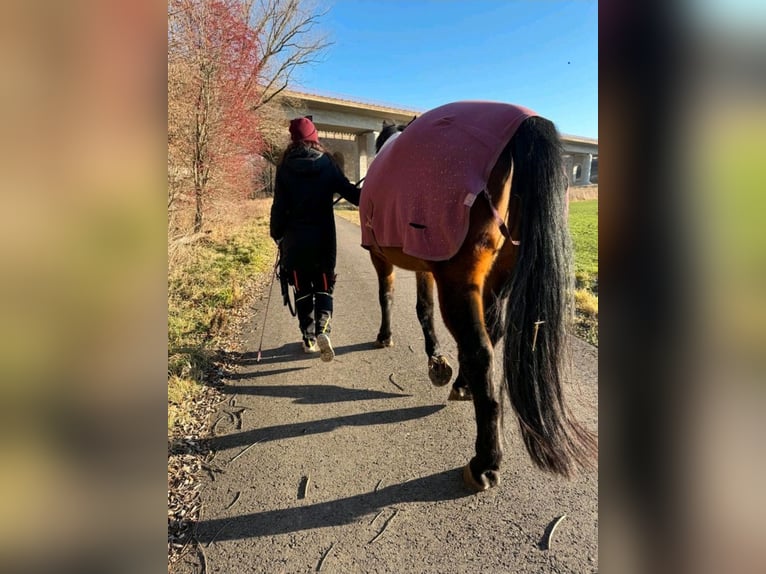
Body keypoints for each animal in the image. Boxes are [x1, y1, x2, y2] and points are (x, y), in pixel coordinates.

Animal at [359, 101, 596, 491]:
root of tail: (524, 123)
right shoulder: (424, 263)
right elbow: (423, 307)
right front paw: (436, 360)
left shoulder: (382, 258)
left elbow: (388, 296)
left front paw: (386, 336)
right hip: (495, 275)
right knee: (491, 331)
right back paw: (461, 385)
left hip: (459, 279)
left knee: (480, 351)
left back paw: (485, 461)